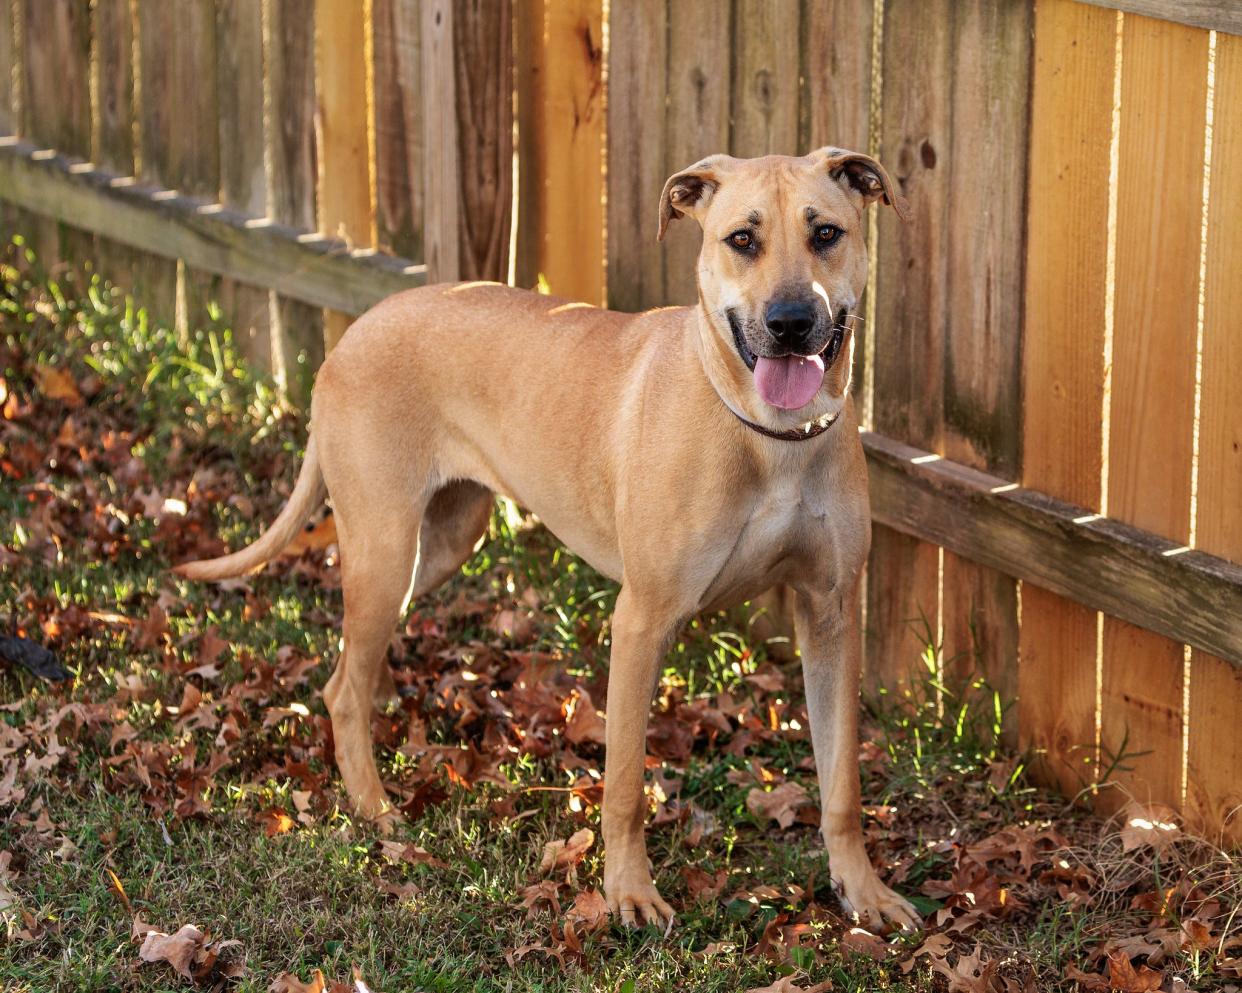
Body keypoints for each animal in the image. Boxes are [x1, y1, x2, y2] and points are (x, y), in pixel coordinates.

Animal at [181, 147, 924, 933]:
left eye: (826, 233)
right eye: (742, 239)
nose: (789, 322)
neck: (771, 437)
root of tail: (356, 328)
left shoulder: (831, 615)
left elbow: (841, 784)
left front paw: (862, 890)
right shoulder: (643, 621)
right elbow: (624, 783)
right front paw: (627, 890)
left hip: (439, 545)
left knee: (350, 664)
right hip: (385, 548)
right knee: (342, 689)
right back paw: (375, 808)